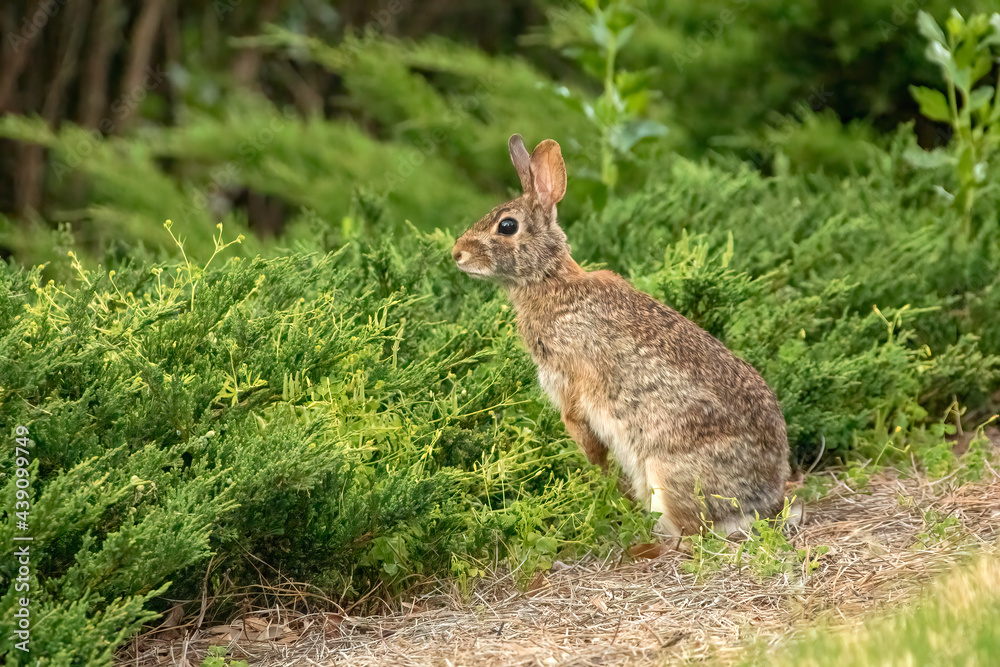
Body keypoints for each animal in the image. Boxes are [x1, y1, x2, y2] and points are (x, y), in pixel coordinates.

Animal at [452, 134, 792, 538]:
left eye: (506, 226)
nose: (456, 254)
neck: (550, 282)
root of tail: (763, 496)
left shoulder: (570, 385)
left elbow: (582, 432)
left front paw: (598, 468)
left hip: (667, 473)